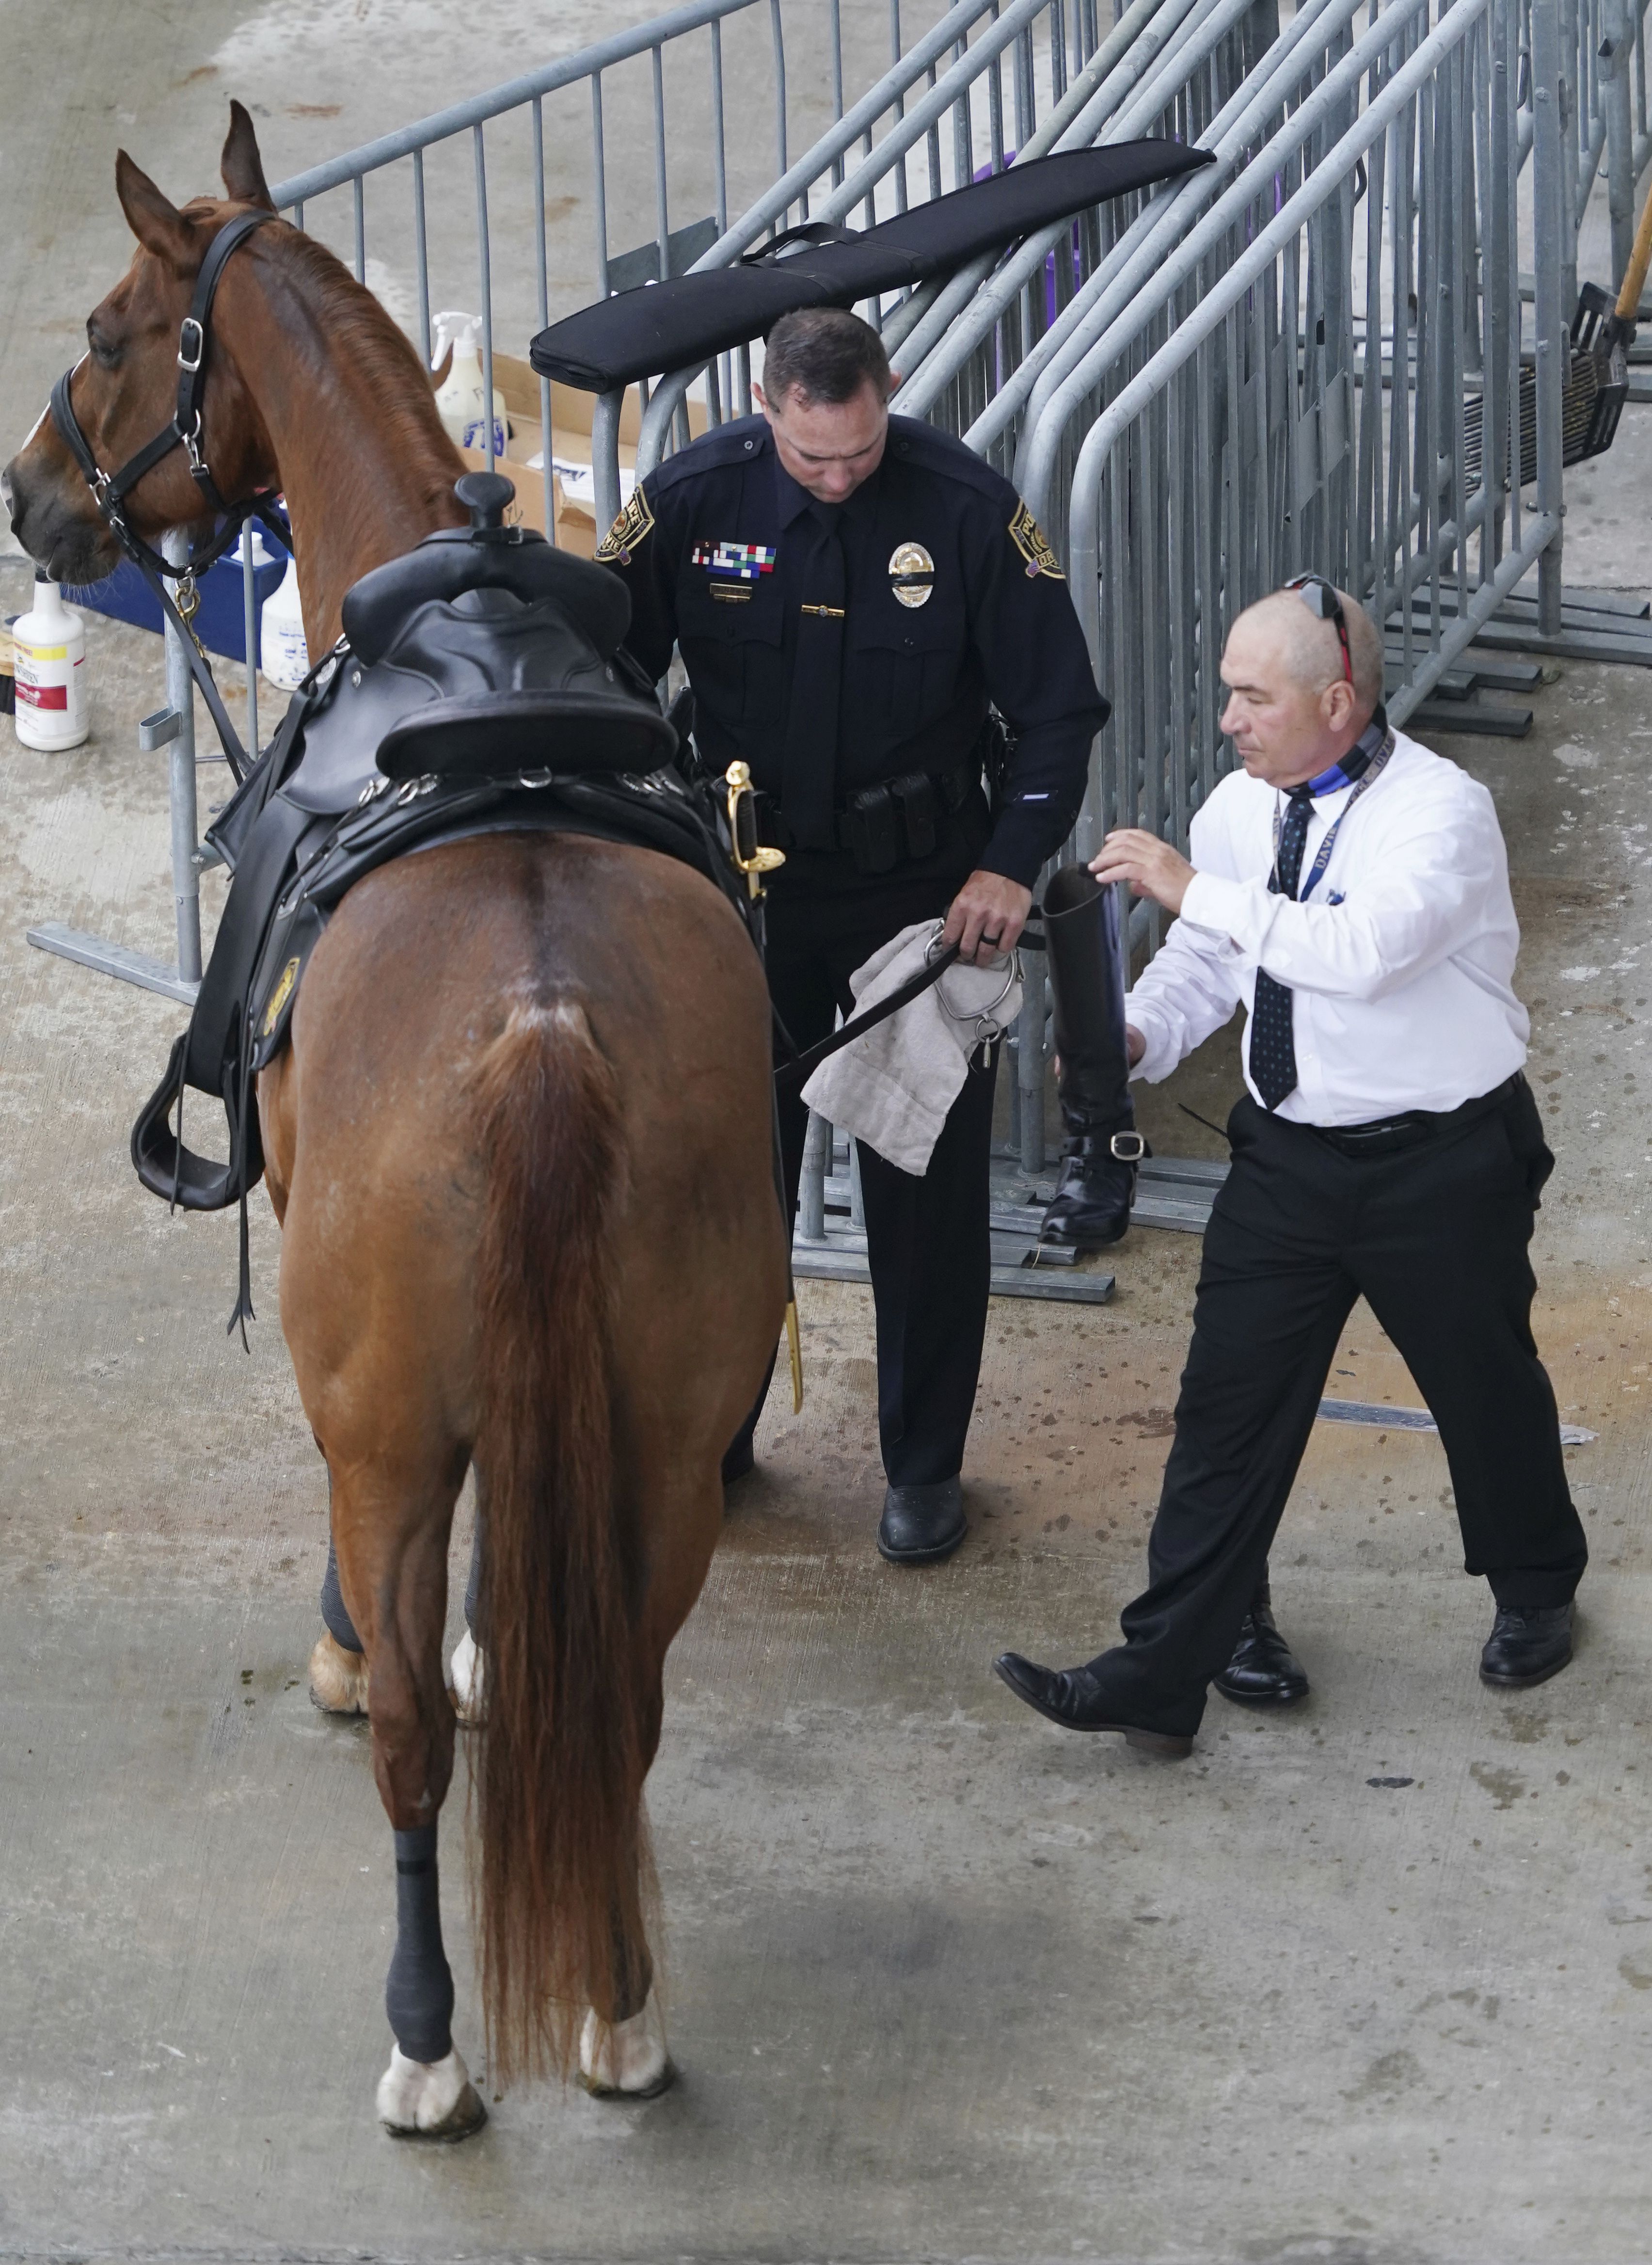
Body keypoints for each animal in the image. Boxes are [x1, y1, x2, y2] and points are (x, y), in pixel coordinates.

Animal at [1, 102, 784, 2120]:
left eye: (111, 332)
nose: (32, 502)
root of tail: (541, 1033)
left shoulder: (370, 1400)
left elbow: (409, 1660)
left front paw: (356, 1644)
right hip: (667, 1432)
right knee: (624, 1696)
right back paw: (617, 2004)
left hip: (383, 1426)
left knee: (418, 1751)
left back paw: (428, 2037)